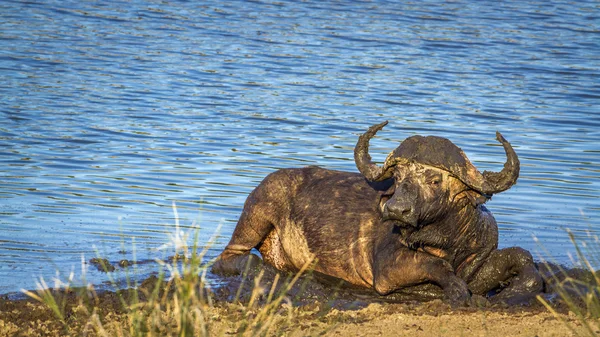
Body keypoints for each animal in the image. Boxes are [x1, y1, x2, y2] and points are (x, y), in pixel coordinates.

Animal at [212, 121, 544, 304]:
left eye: (434, 180)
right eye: (397, 177)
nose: (396, 209)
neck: (447, 240)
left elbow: (522, 256)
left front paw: (515, 291)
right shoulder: (387, 267)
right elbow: (438, 270)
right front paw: (450, 289)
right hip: (258, 212)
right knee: (229, 257)